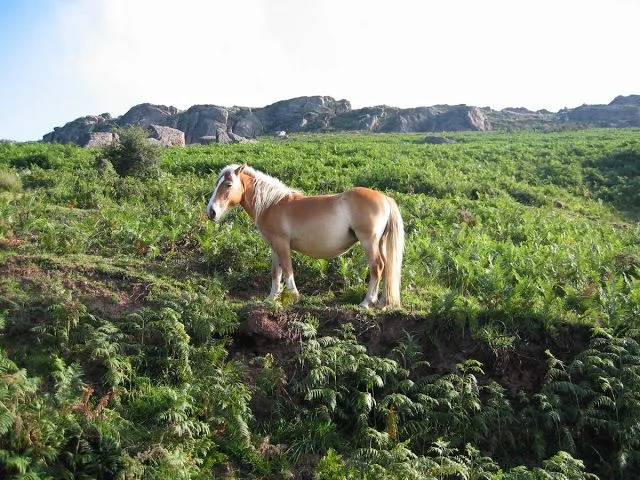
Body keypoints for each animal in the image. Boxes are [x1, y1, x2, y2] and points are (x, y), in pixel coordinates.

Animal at [206, 164, 404, 308]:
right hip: (379, 243)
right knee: (386, 267)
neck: (271, 204)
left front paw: (293, 296)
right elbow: (276, 272)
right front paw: (271, 299)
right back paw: (381, 302)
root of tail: (385, 198)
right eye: (216, 184)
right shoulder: (274, 246)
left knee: (377, 267)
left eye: (228, 184)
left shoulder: (282, 244)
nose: (211, 212)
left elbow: (287, 269)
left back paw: (366, 302)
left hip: (369, 242)